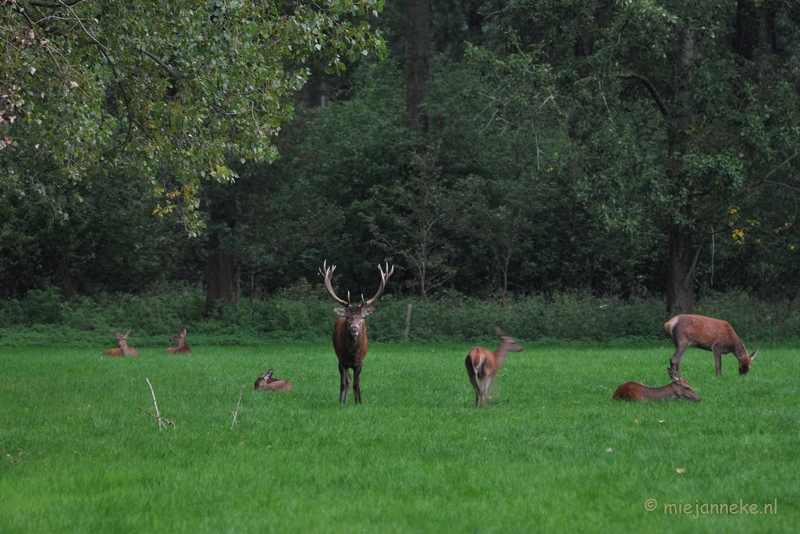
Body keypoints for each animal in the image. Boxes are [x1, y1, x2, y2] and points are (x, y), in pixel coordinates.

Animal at [318, 260, 394, 406]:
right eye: (348, 317)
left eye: (362, 317)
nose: (354, 328)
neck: (352, 353)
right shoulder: (341, 361)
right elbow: (343, 383)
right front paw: (341, 402)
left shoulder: (360, 362)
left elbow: (356, 383)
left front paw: (358, 402)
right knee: (347, 380)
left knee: (355, 382)